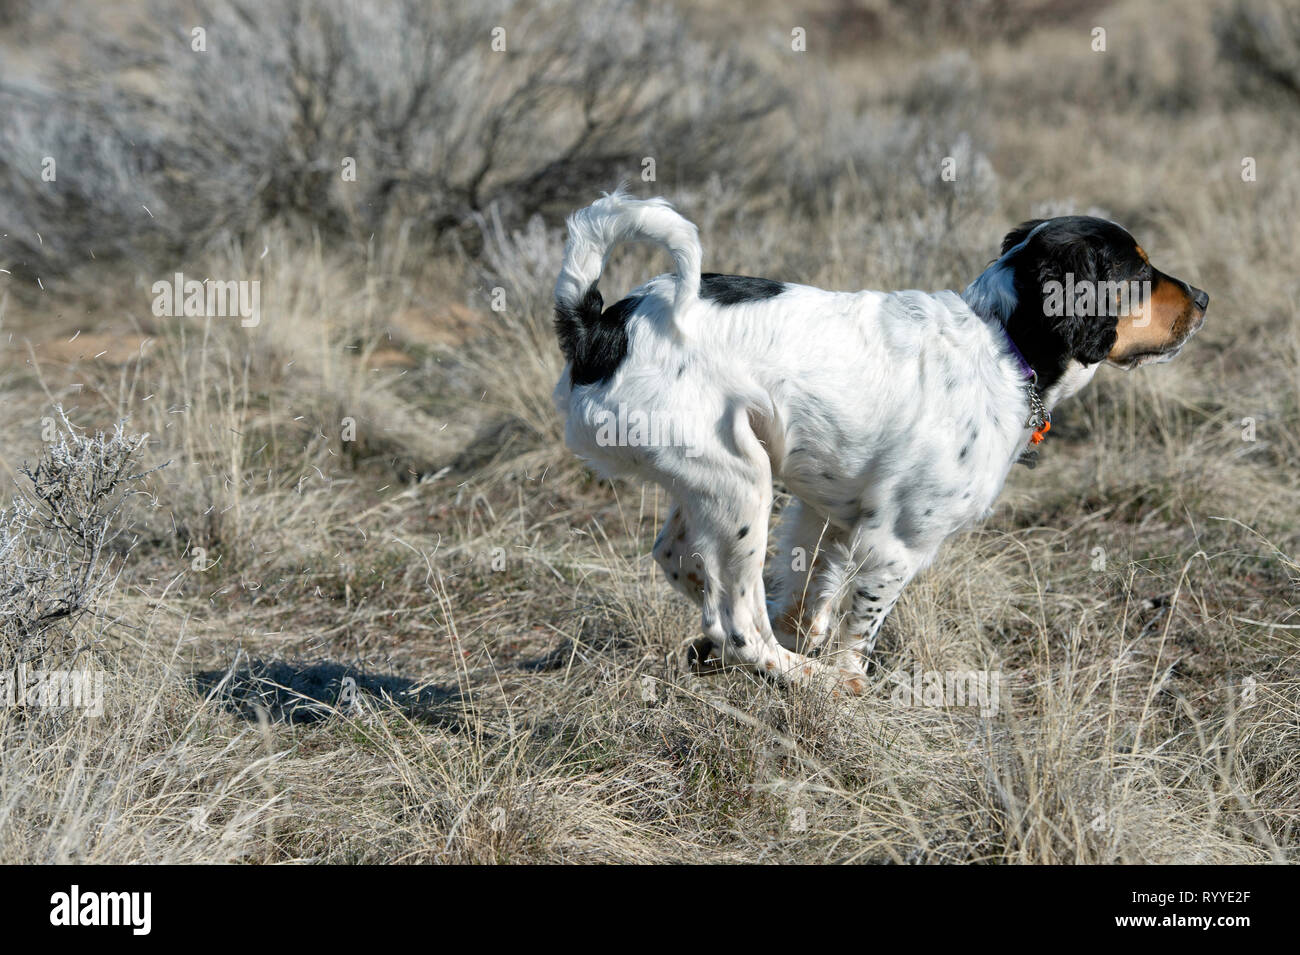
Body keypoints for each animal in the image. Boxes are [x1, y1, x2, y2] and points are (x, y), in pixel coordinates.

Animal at [551, 191, 1206, 696]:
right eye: (1138, 273)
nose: (1202, 298)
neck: (1002, 342)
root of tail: (599, 328)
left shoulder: (828, 510)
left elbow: (813, 589)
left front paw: (805, 630)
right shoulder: (898, 543)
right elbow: (860, 627)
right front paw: (845, 676)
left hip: (714, 476)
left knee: (682, 566)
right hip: (741, 481)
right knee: (738, 625)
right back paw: (810, 678)